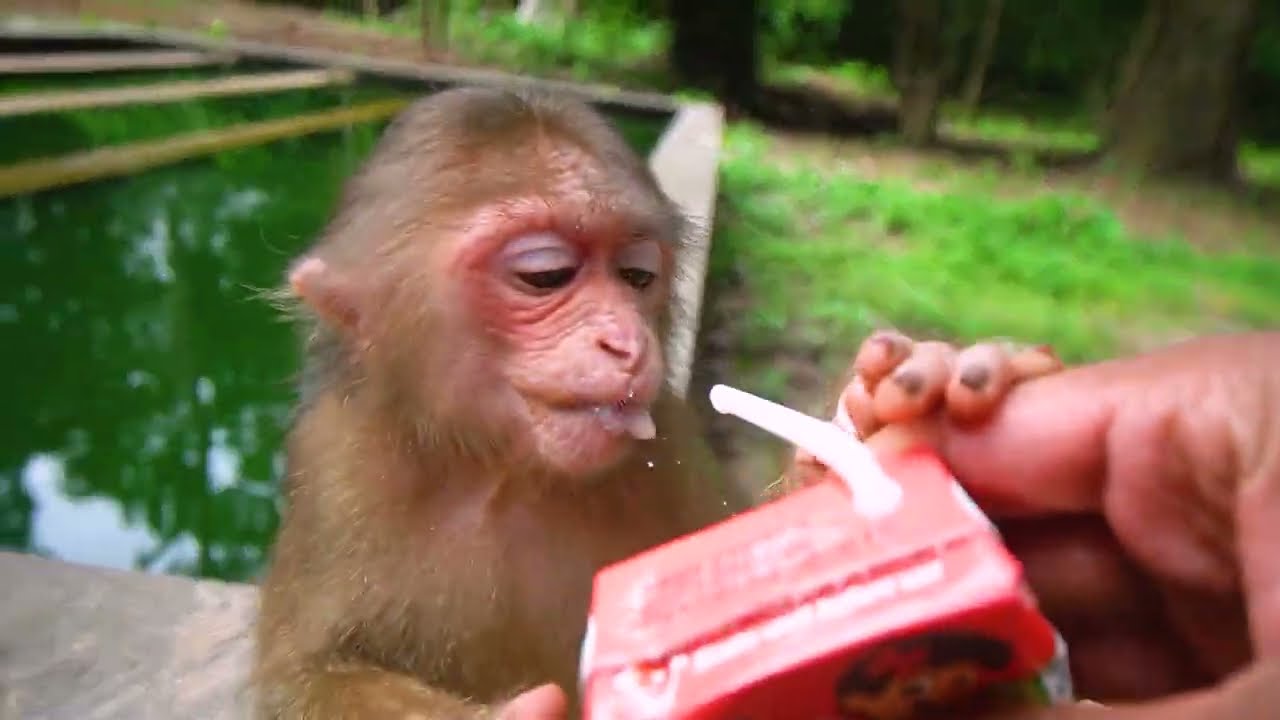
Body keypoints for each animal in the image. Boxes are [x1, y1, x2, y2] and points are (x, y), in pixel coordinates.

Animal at [250, 85, 1063, 720]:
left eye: (637, 275)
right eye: (544, 275)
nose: (625, 342)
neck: (500, 471)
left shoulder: (666, 435)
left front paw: (878, 415)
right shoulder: (336, 463)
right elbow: (306, 676)